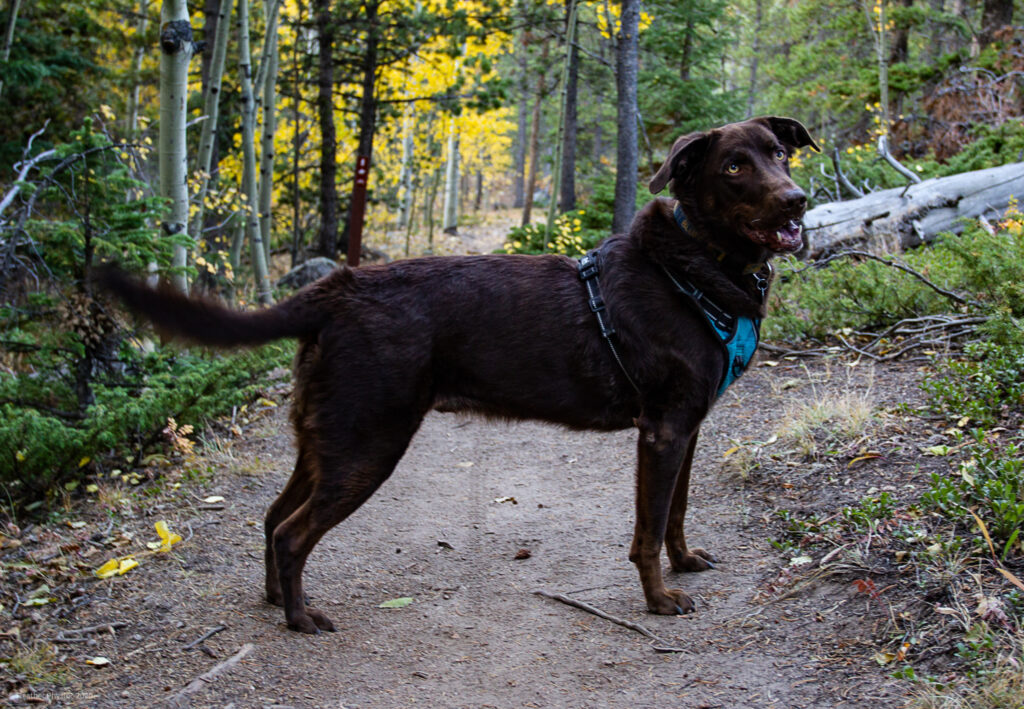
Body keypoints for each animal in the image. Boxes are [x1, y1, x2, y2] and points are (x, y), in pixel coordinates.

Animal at [105, 117, 815, 635]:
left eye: (781, 154)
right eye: (733, 167)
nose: (798, 200)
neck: (697, 266)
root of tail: (337, 289)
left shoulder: (686, 429)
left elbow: (675, 513)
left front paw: (685, 564)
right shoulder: (663, 432)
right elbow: (645, 530)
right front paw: (659, 600)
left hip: (326, 439)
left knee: (273, 517)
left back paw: (277, 600)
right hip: (368, 444)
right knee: (290, 530)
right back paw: (301, 619)